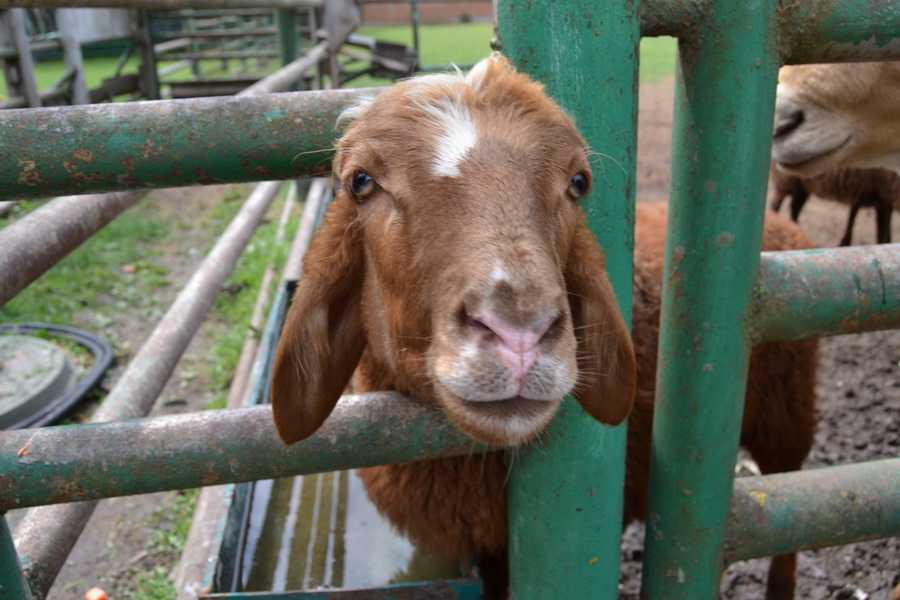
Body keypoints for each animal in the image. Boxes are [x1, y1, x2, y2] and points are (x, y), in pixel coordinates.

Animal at [768, 163, 900, 245]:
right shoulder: (883, 198)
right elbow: (882, 233)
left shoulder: (882, 200)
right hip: (786, 180)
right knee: (776, 205)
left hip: (802, 186)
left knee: (795, 207)